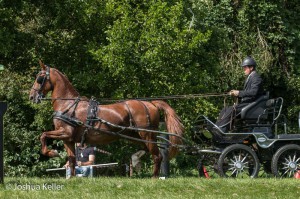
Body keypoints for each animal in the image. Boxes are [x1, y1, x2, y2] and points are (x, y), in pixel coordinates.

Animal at [29, 61, 184, 177]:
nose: (31, 96)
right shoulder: (68, 139)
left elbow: (43, 135)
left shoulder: (65, 132)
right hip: (134, 135)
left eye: (39, 78)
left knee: (157, 156)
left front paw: (51, 153)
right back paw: (136, 161)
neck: (68, 104)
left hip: (146, 134)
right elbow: (72, 159)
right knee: (147, 150)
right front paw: (71, 178)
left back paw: (154, 178)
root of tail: (150, 104)